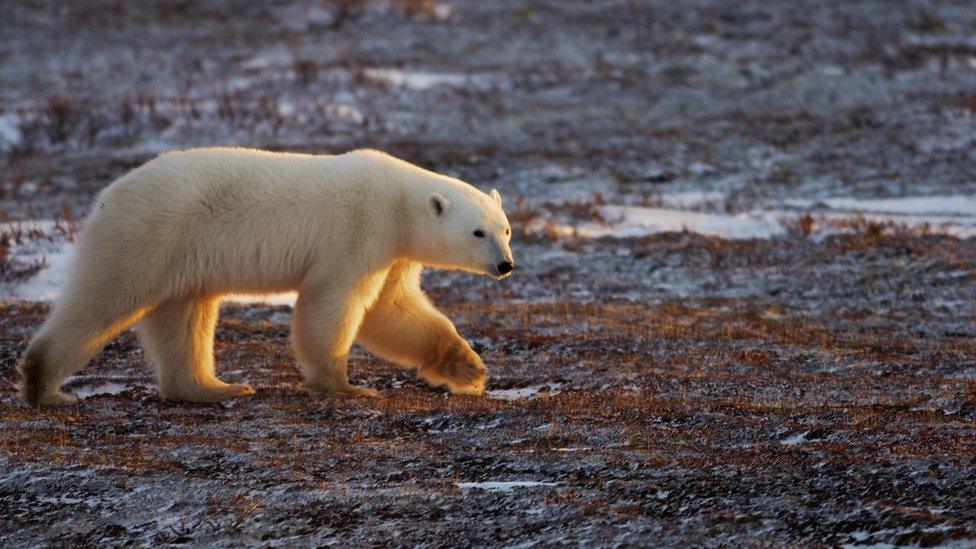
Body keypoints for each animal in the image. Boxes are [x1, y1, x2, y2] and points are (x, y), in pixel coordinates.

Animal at [19, 148, 516, 404]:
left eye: (506, 228)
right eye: (478, 232)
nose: (505, 265)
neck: (398, 201)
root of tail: (105, 197)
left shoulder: (393, 254)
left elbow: (392, 310)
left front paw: (467, 368)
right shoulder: (359, 233)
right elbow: (335, 303)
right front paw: (346, 385)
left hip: (182, 256)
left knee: (185, 316)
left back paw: (213, 387)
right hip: (147, 235)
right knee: (102, 300)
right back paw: (46, 386)